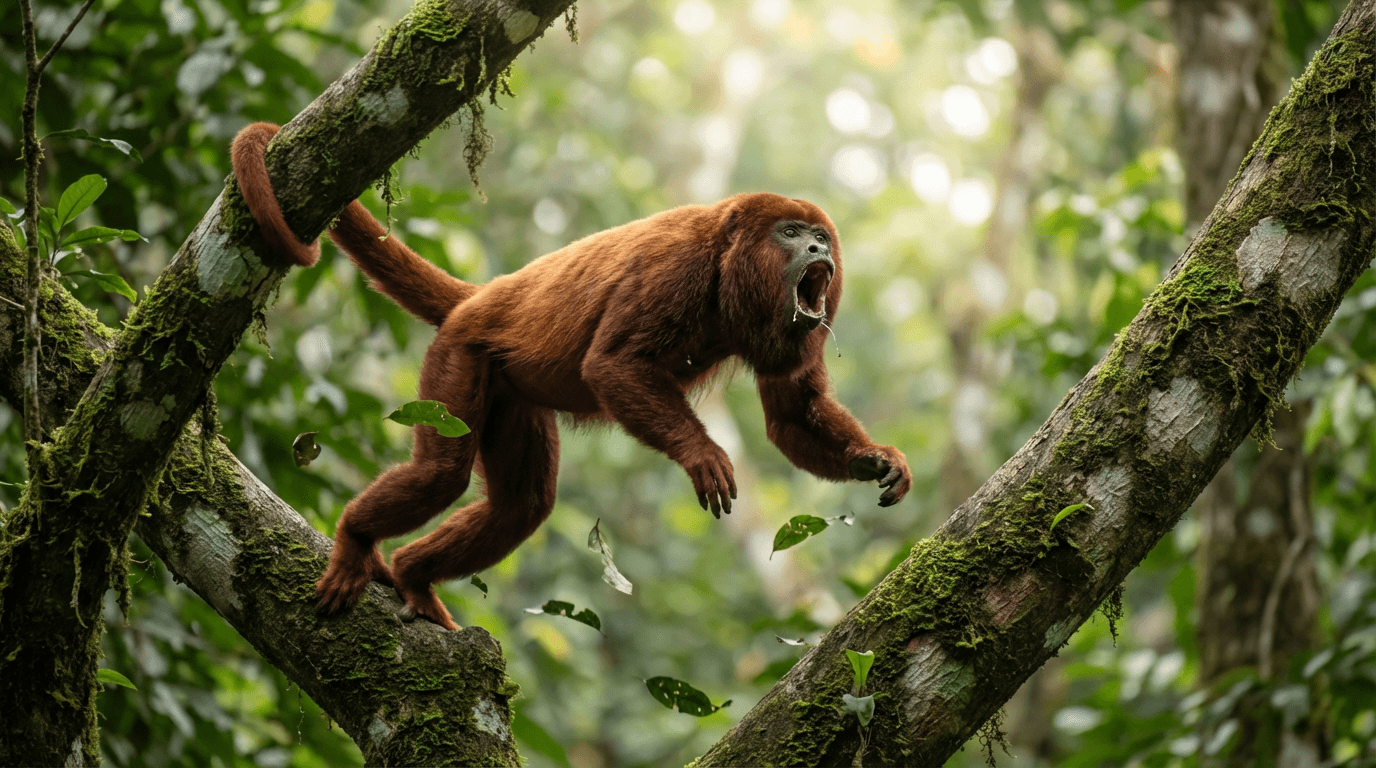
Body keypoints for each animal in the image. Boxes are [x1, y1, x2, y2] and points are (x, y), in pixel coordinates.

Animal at [231, 122, 912, 630]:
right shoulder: (677, 264)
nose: (820, 251)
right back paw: (355, 539)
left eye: (821, 236)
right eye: (791, 234)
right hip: (460, 355)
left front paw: (875, 459)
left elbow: (792, 413)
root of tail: (484, 297)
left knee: (522, 506)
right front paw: (702, 455)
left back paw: (411, 576)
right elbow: (612, 364)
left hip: (511, 392)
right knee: (440, 474)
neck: (730, 264)